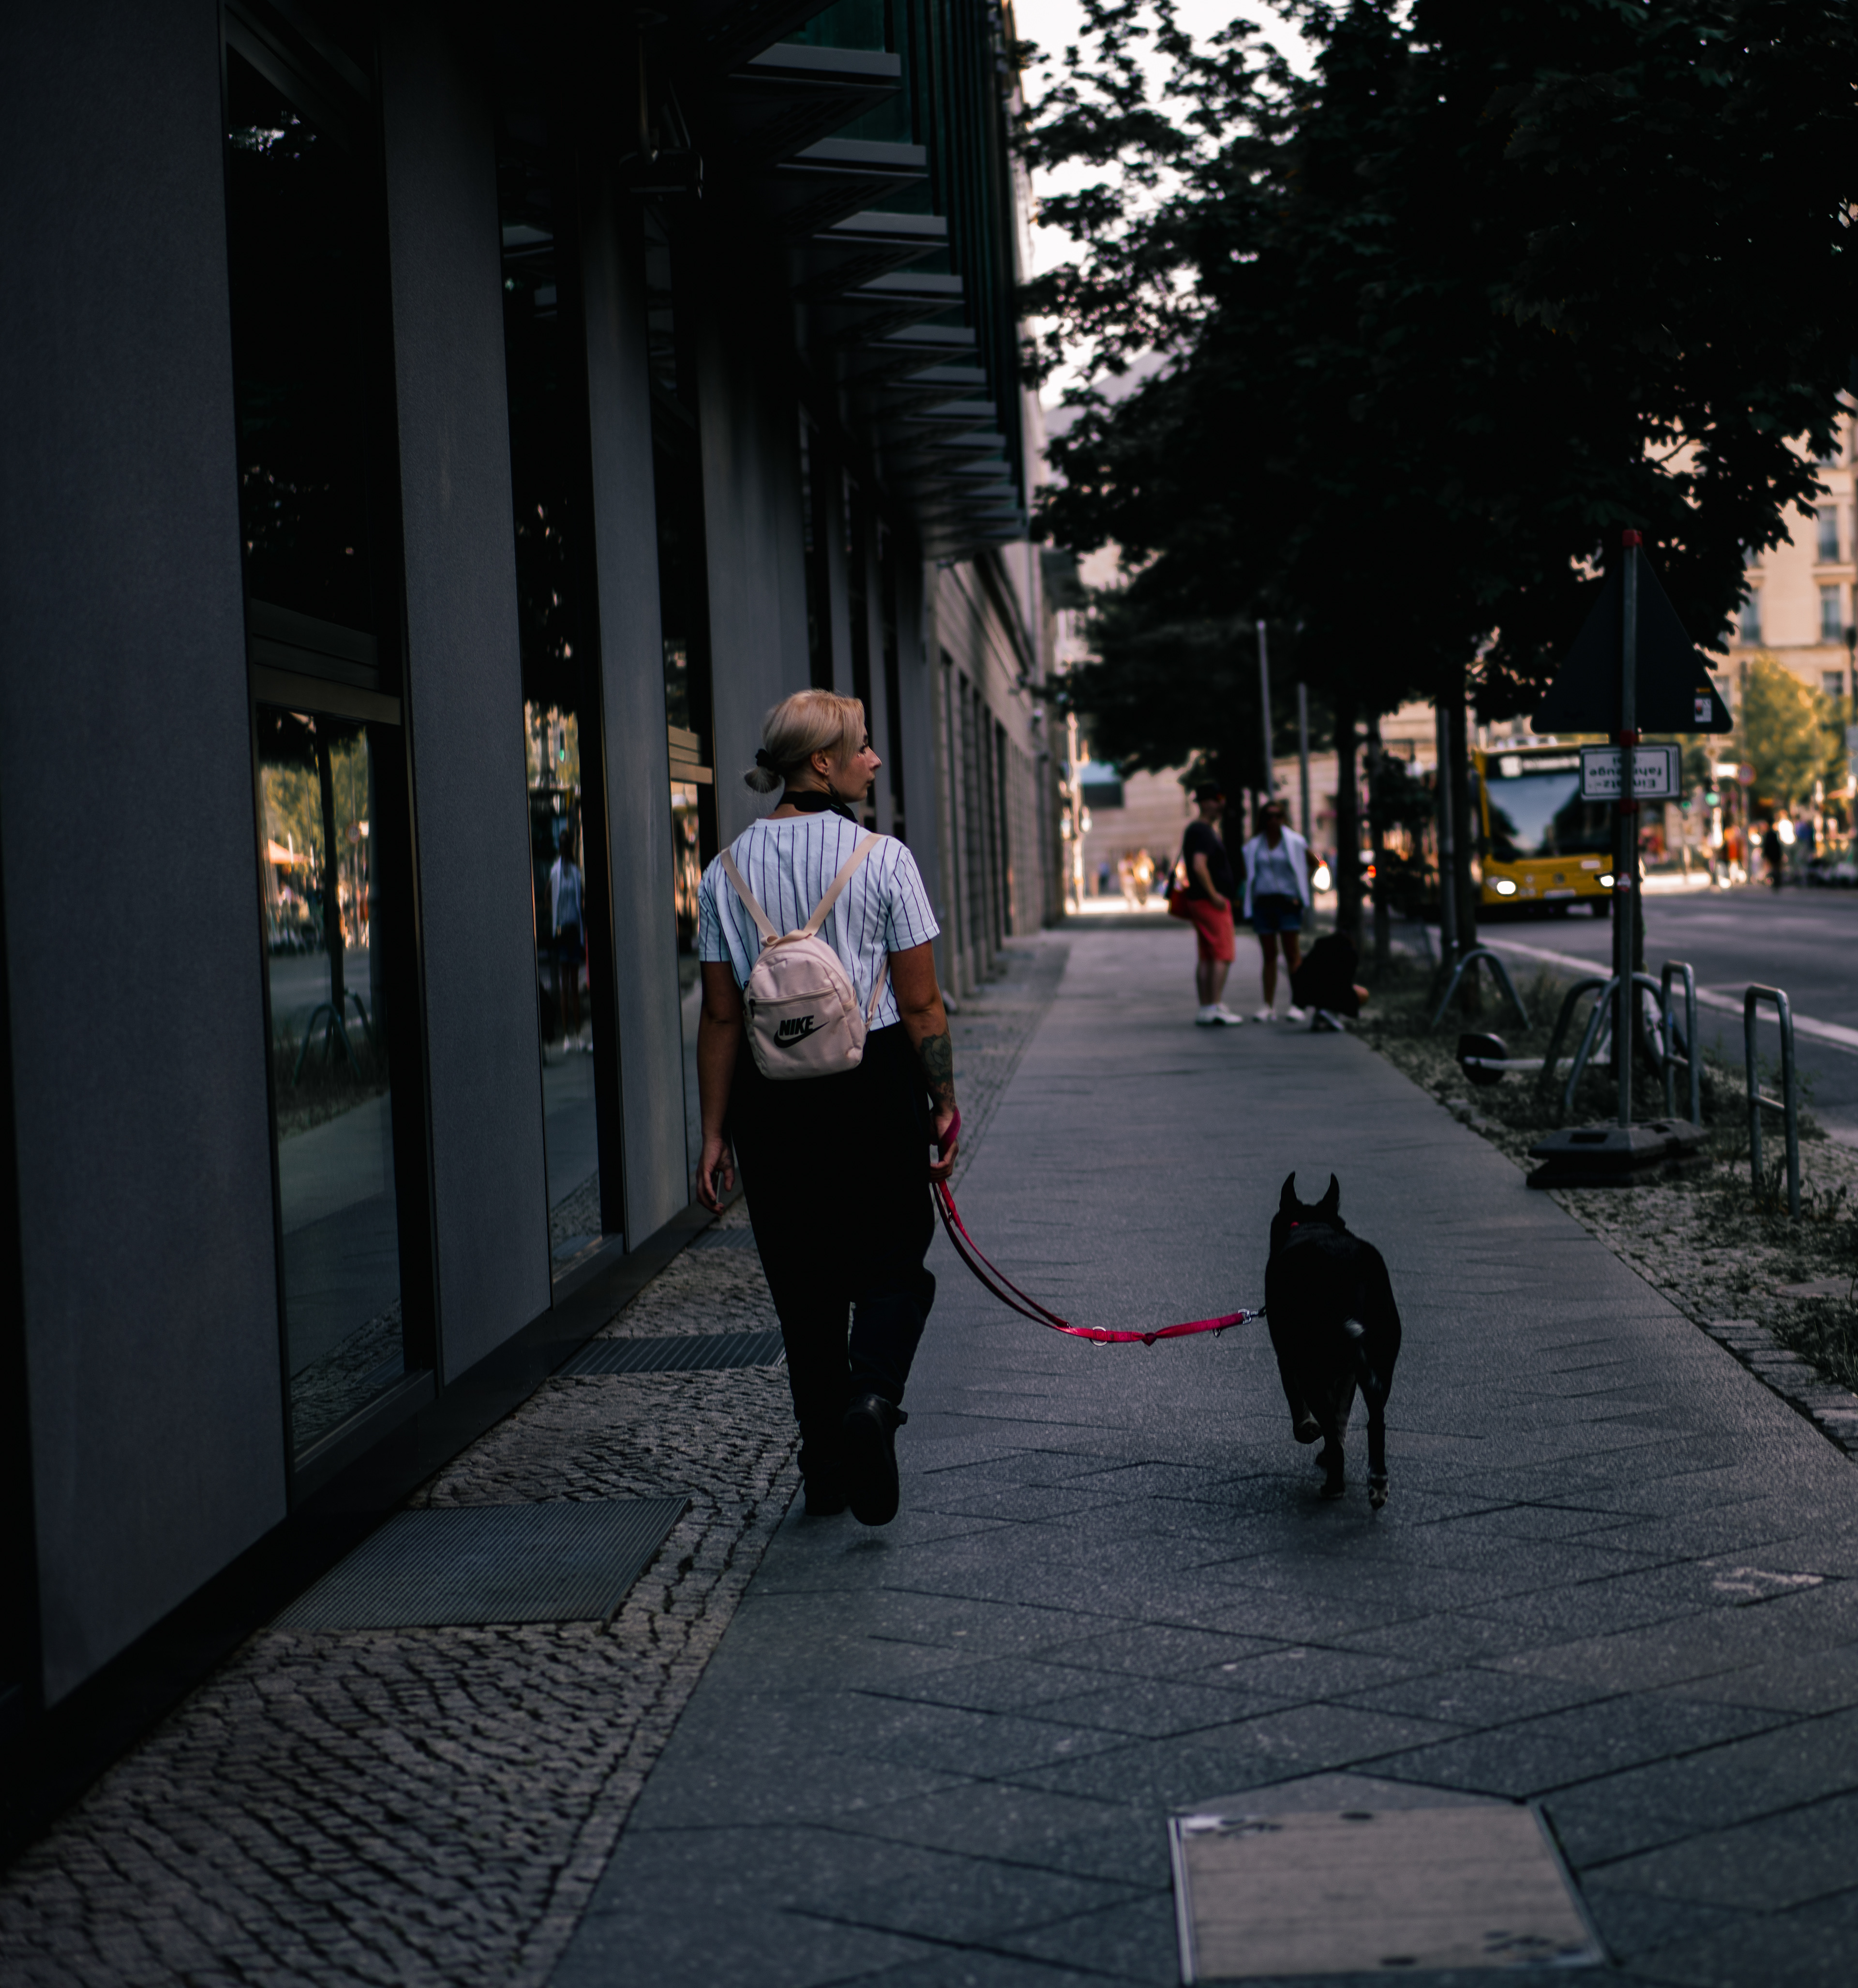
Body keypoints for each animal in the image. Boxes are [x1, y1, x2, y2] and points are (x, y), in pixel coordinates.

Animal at [1263, 1173, 1402, 1508]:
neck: (1312, 1224)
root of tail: (1349, 1275)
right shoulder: (1349, 1373)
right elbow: (1341, 1421)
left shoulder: (1289, 1361)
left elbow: (1302, 1409)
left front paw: (1307, 1431)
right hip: (1379, 1363)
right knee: (1376, 1420)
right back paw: (1377, 1483)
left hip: (1313, 1367)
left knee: (1329, 1417)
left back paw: (1334, 1486)